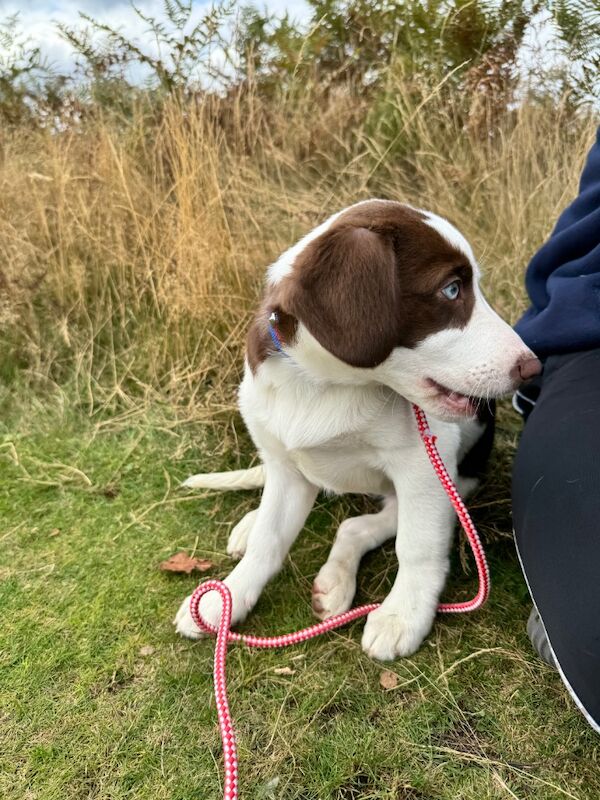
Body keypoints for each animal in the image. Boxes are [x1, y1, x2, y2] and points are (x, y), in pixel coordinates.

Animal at [175, 197, 540, 660]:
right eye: (452, 289)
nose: (532, 367)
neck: (326, 386)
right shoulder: (288, 470)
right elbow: (269, 540)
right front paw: (230, 595)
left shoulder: (424, 468)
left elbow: (417, 546)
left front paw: (403, 614)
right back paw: (251, 525)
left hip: (458, 479)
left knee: (357, 526)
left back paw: (336, 581)